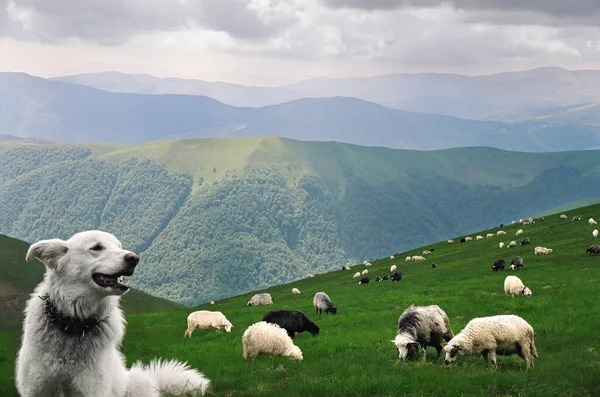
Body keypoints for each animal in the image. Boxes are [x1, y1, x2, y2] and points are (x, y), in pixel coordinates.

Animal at [16, 230, 211, 394]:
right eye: (96, 247)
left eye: (119, 245)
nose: (134, 258)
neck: (74, 325)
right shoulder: (36, 389)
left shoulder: (92, 390)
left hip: (137, 381)